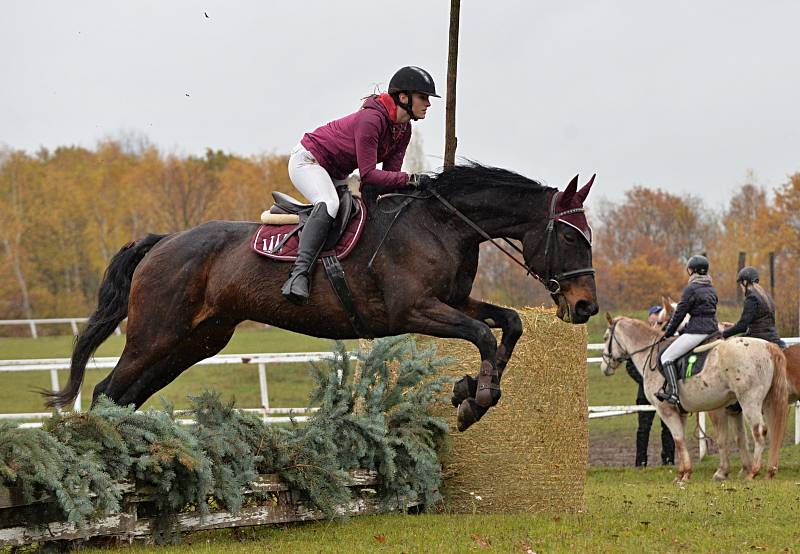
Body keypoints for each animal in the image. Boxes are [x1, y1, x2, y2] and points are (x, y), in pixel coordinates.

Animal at [40, 162, 596, 430]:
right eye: (572, 238)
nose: (586, 305)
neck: (443, 224)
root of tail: (163, 241)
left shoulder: (451, 303)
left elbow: (508, 324)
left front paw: (474, 390)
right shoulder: (415, 310)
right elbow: (482, 333)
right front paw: (475, 399)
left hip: (195, 342)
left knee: (128, 395)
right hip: (155, 335)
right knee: (106, 390)